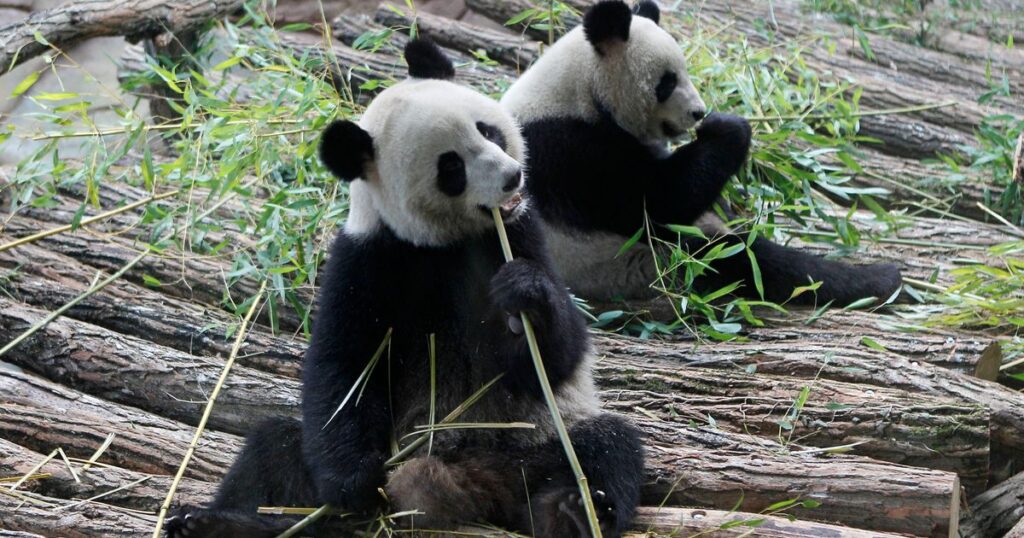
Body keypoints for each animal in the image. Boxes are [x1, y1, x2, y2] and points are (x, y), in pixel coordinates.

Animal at [165, 39, 643, 538]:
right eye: (451, 167)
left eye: (488, 131)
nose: (512, 177)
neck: (442, 243)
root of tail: (473, 486)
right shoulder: (368, 260)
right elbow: (343, 367)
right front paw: (355, 483)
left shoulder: (519, 234)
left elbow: (553, 358)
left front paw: (524, 294)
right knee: (272, 448)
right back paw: (214, 522)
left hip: (537, 441)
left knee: (606, 446)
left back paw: (571, 512)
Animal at [501, 0, 902, 306]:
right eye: (667, 82)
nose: (698, 113)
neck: (580, 89)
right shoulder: (572, 151)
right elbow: (656, 203)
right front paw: (729, 128)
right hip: (636, 264)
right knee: (740, 259)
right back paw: (877, 280)